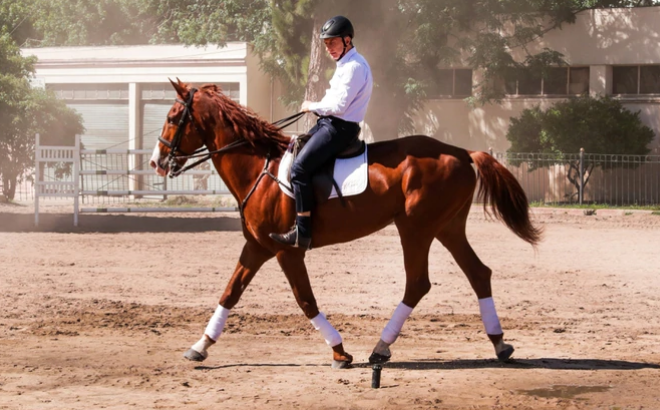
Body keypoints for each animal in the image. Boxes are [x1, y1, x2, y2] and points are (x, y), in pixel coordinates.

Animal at [149, 79, 542, 369]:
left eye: (172, 116)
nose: (156, 162)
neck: (258, 167)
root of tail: (461, 152)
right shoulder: (257, 246)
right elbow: (230, 292)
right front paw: (200, 345)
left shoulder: (286, 250)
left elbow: (305, 300)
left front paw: (339, 351)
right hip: (447, 228)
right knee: (478, 273)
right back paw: (500, 344)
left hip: (416, 228)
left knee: (418, 283)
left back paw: (382, 347)